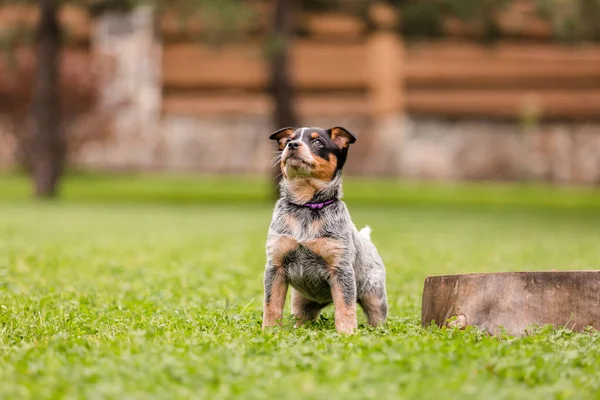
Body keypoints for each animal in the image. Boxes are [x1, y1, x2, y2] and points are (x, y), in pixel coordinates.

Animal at [264, 126, 390, 332]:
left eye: (317, 142)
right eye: (289, 139)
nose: (292, 145)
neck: (307, 206)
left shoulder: (341, 269)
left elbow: (345, 307)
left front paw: (347, 333)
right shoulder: (275, 267)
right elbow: (271, 305)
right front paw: (269, 331)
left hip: (375, 297)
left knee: (375, 316)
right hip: (300, 303)